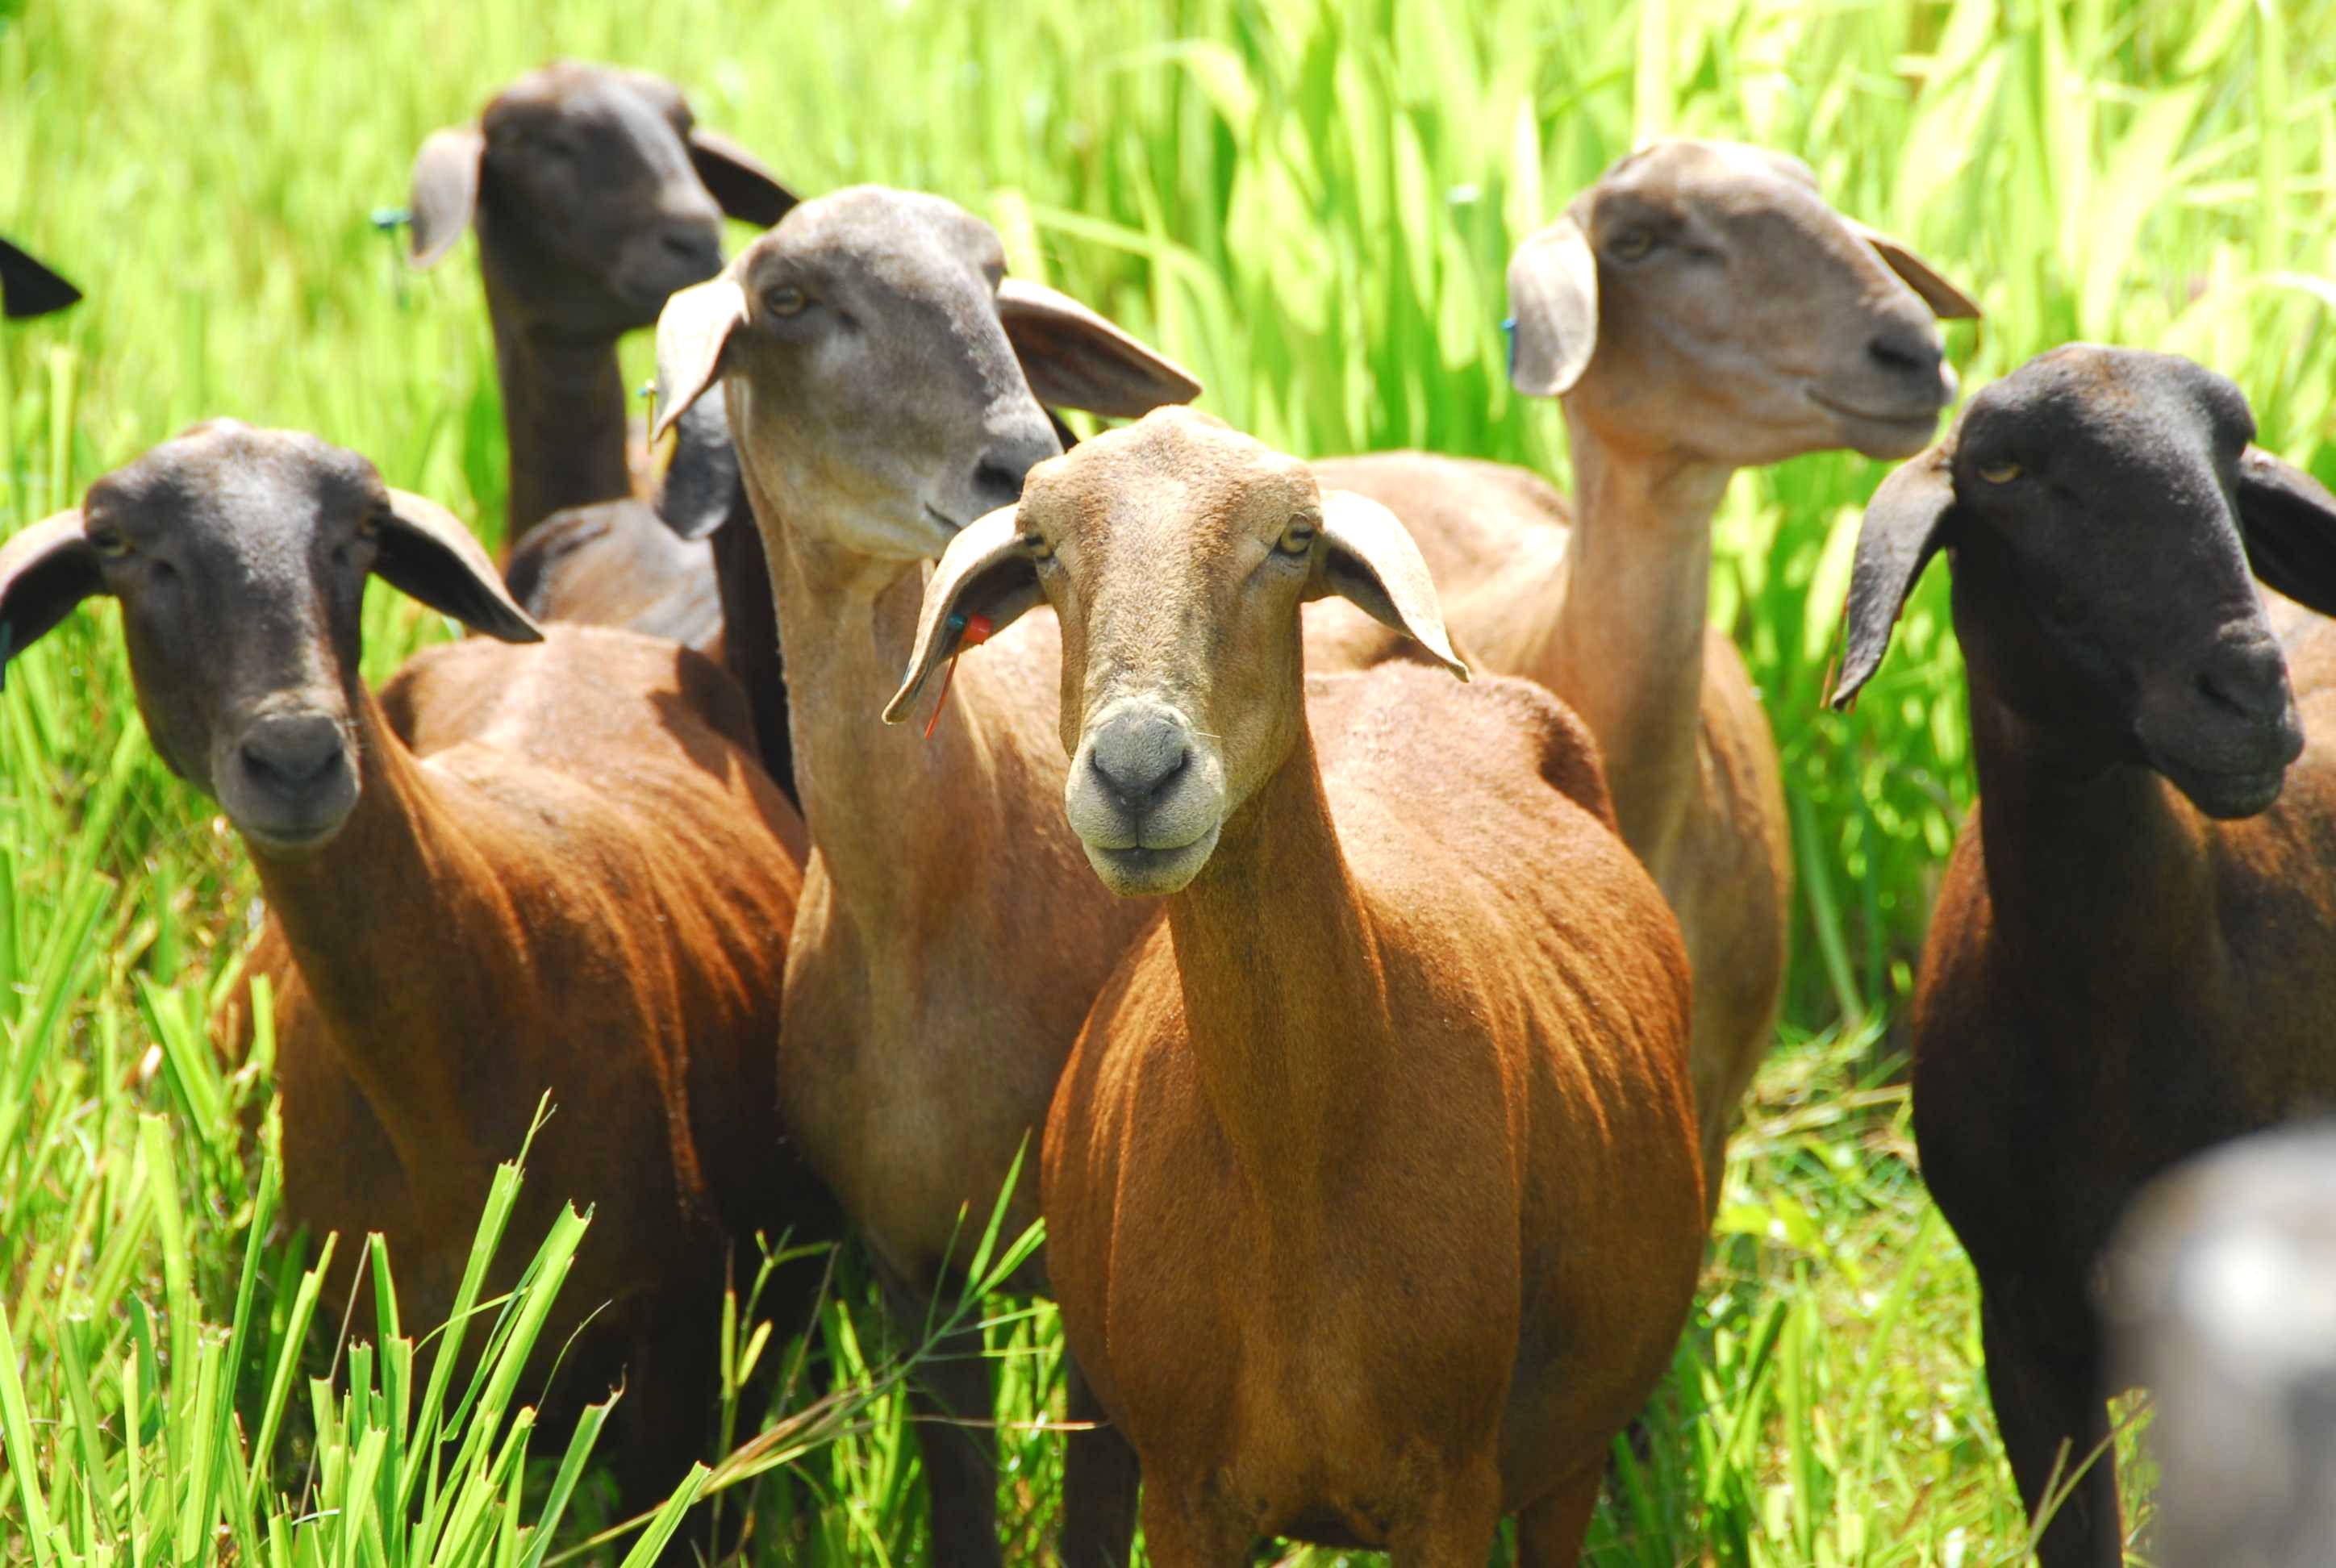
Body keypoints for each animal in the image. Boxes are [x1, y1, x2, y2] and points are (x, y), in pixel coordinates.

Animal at [882, 411, 1709, 1561]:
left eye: (1293, 541)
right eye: (1041, 548)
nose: (1137, 773)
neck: (1299, 1163)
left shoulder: (1453, 1492)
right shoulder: (1183, 1491)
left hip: (1569, 1454)